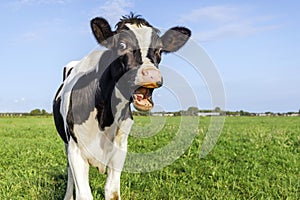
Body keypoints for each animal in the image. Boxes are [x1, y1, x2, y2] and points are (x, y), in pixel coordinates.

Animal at [52, 13, 191, 199]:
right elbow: (84, 194)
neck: (105, 118)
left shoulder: (119, 150)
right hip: (67, 144)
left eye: (160, 50)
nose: (152, 74)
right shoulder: (76, 151)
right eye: (122, 45)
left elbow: (112, 192)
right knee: (69, 174)